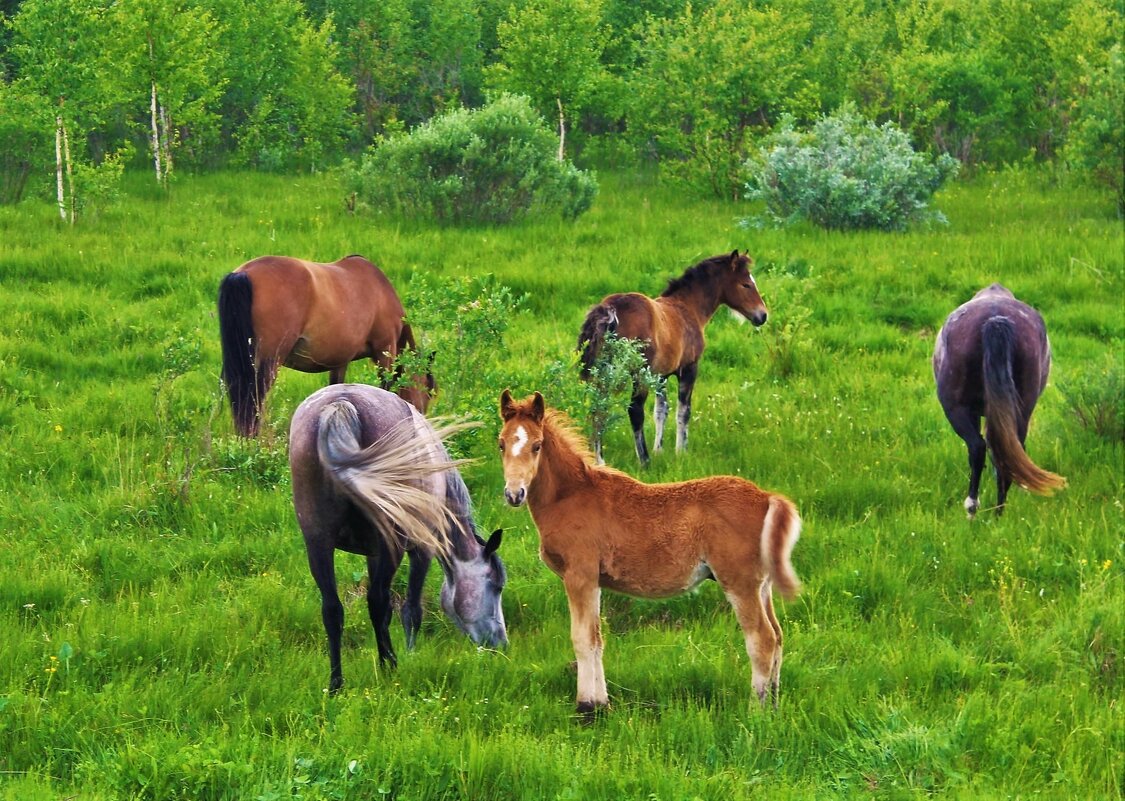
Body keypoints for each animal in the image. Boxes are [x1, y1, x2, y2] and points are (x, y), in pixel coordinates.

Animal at [217, 253, 432, 434]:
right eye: (429, 393)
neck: (381, 292)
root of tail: (244, 274)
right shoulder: (385, 350)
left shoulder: (340, 361)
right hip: (269, 361)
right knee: (254, 398)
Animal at [288, 384, 508, 693]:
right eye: (496, 586)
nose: (500, 644)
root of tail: (339, 404)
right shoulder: (421, 550)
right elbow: (411, 610)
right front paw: (410, 654)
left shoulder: (372, 554)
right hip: (390, 544)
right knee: (379, 601)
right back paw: (390, 667)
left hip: (317, 543)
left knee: (332, 610)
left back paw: (336, 684)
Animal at [499, 389, 801, 715]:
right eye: (501, 443)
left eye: (537, 445)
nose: (514, 494)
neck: (569, 496)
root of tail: (766, 498)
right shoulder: (594, 581)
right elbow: (597, 639)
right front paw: (602, 704)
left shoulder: (579, 575)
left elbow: (582, 639)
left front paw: (586, 707)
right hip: (762, 586)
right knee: (778, 637)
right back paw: (774, 706)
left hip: (739, 582)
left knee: (762, 640)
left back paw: (756, 713)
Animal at [576, 249, 769, 463]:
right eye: (746, 284)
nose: (762, 315)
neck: (687, 308)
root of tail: (610, 310)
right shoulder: (689, 369)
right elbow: (683, 412)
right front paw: (681, 451)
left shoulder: (661, 376)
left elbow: (661, 411)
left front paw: (659, 450)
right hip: (638, 373)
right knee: (634, 410)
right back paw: (644, 460)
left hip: (603, 373)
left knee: (598, 409)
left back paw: (600, 461)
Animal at [936, 284, 1066, 515]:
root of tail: (995, 319)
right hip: (1020, 411)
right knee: (1009, 454)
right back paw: (999, 514)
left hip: (955, 408)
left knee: (977, 448)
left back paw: (972, 507)